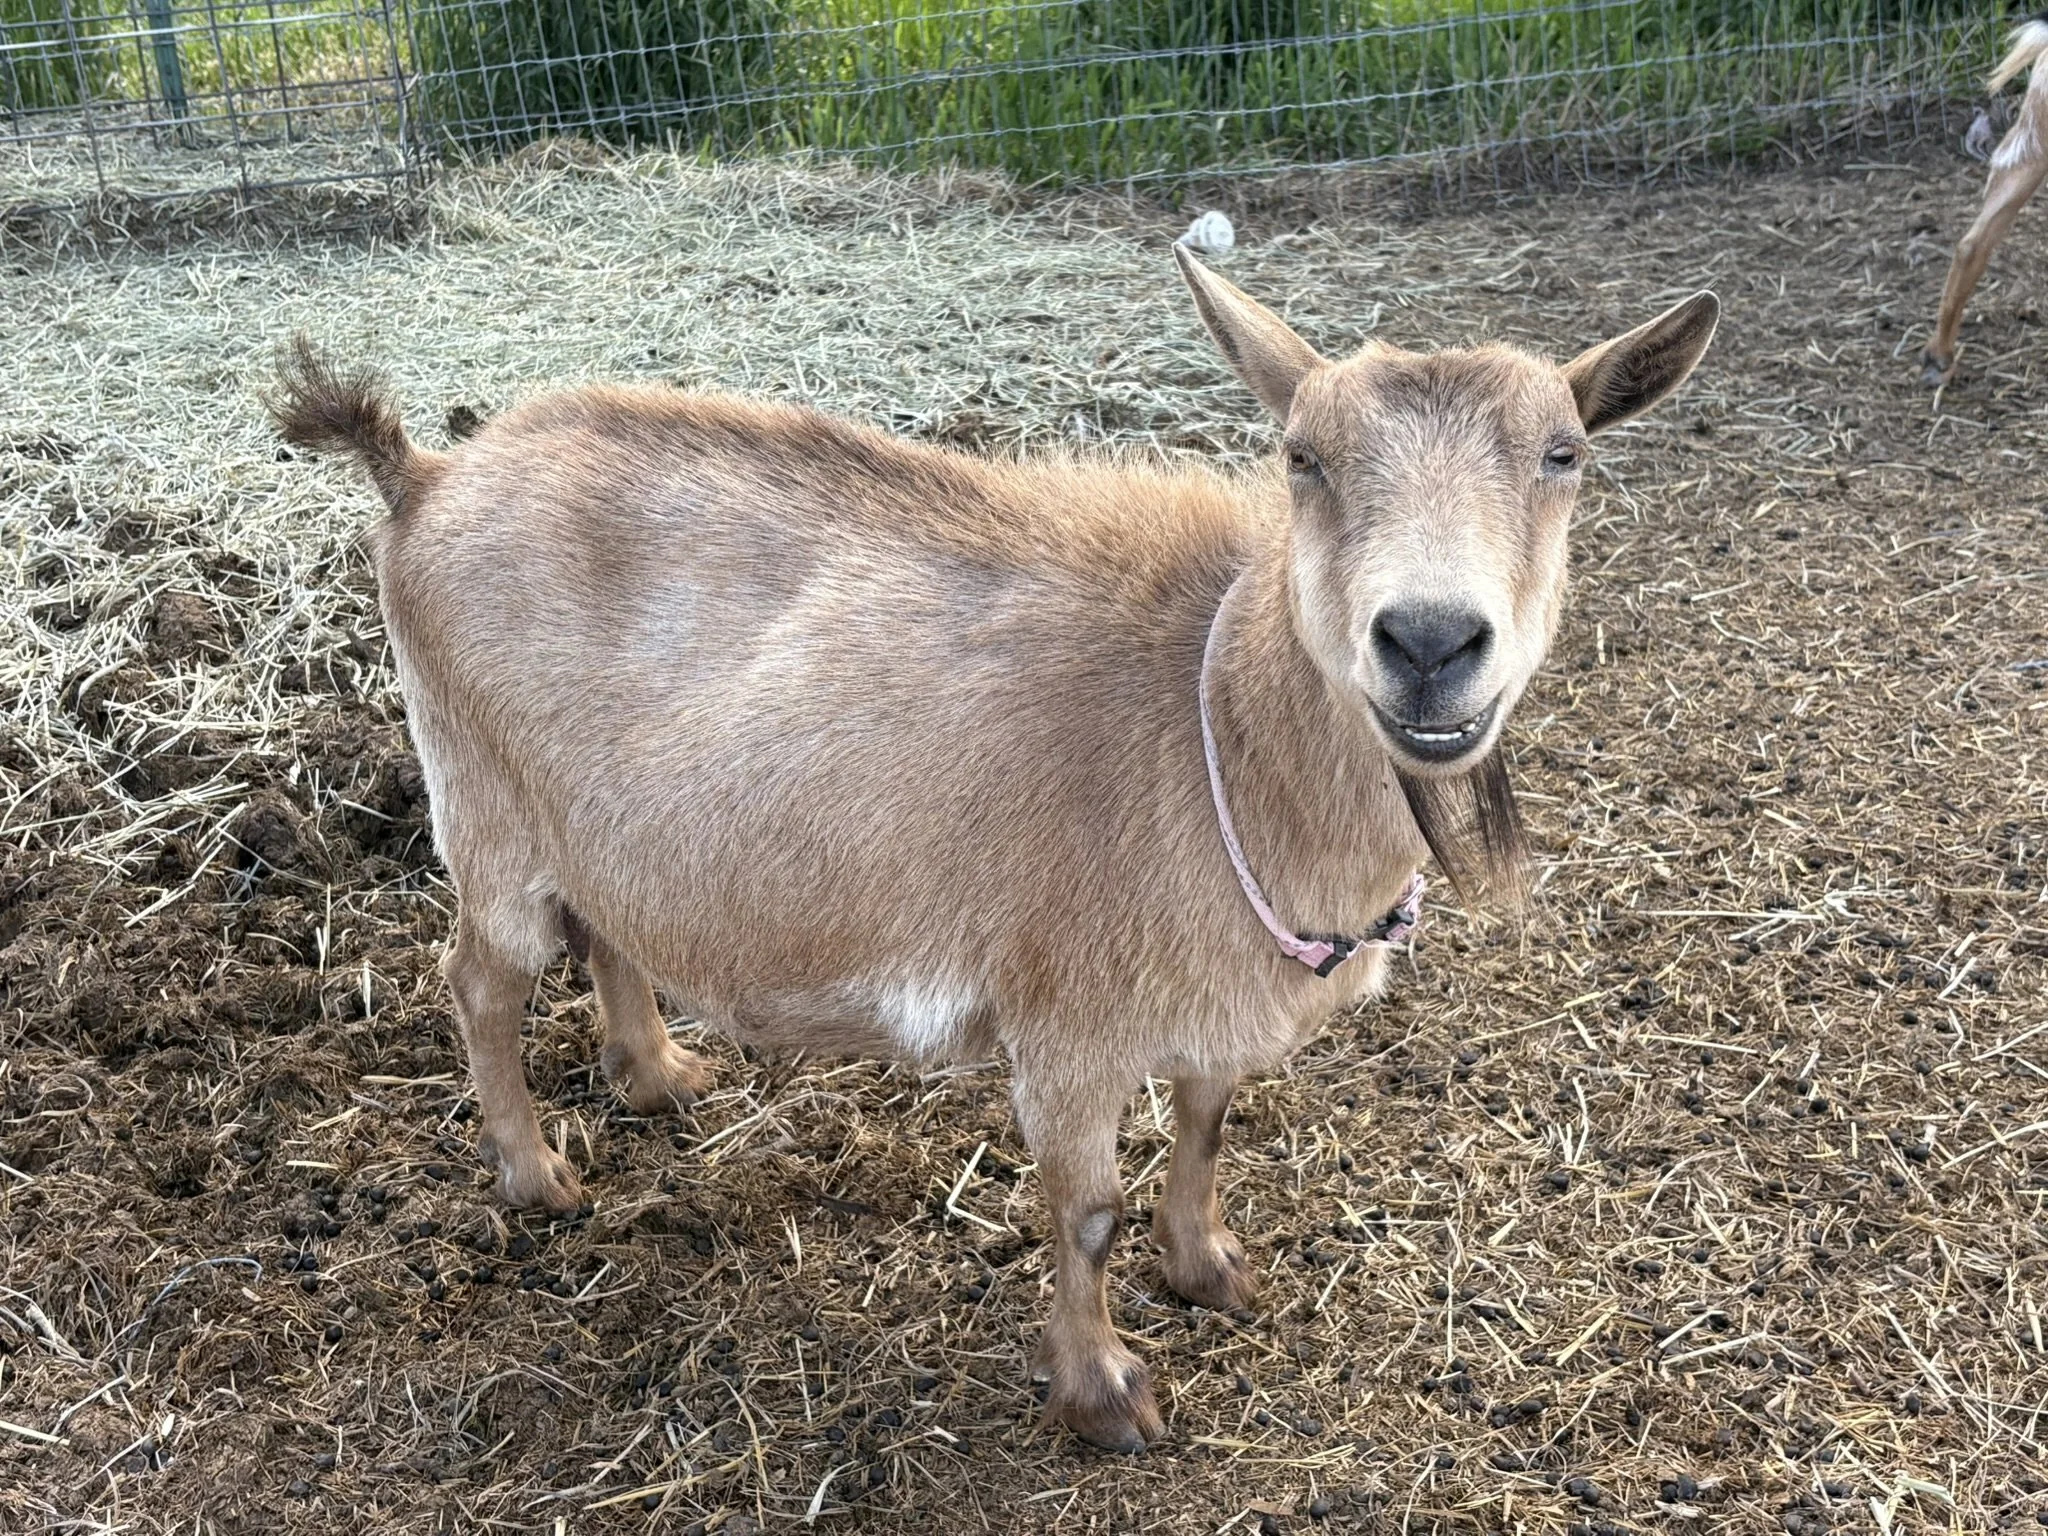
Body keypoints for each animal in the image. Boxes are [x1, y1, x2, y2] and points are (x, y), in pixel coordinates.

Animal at [270, 253, 1716, 1451]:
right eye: (1301, 455)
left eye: (1564, 452)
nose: (1425, 640)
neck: (1215, 731)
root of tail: (426, 478)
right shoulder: (1066, 1021)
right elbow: (1083, 1211)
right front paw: (1105, 1394)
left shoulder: (1216, 994)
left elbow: (1208, 1126)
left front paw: (1208, 1269)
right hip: (485, 806)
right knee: (481, 981)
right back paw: (535, 1176)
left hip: (601, 821)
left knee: (610, 924)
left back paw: (658, 1076)